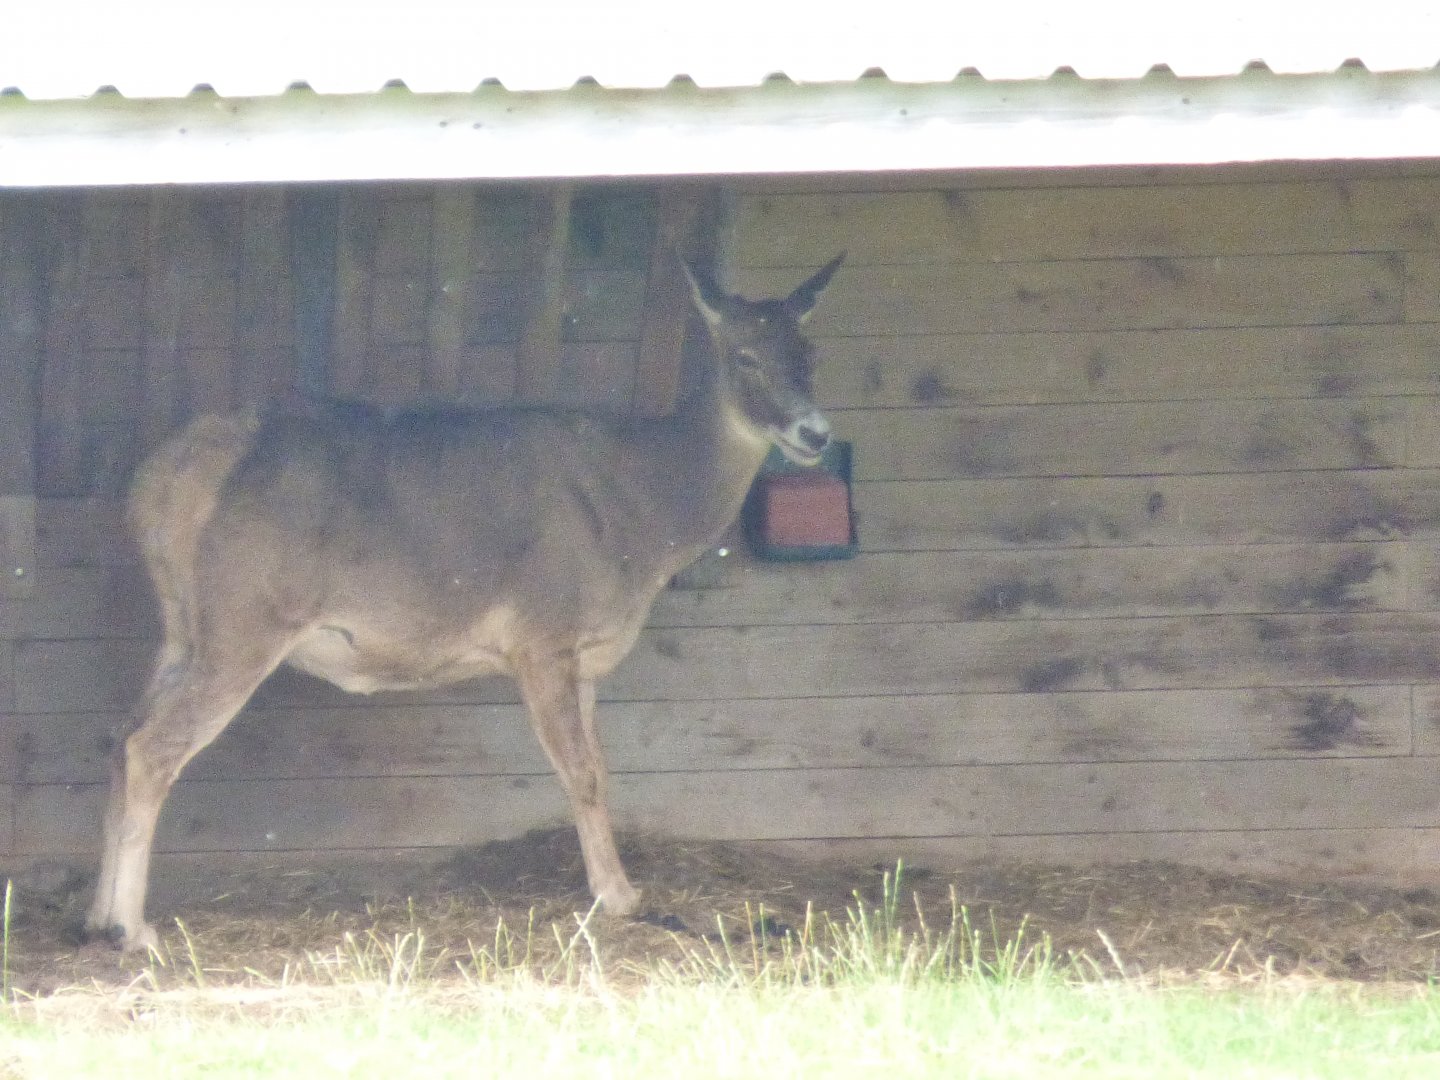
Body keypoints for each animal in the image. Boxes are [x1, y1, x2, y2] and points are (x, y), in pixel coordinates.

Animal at [84, 253, 845, 952]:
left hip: (183, 627)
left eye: (808, 351)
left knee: (121, 736)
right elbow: (581, 773)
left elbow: (600, 769)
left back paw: (95, 916)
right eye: (745, 356)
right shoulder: (543, 630)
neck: (643, 517)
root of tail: (160, 482)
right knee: (153, 746)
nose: (815, 433)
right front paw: (618, 896)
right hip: (245, 617)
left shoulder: (584, 657)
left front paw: (616, 887)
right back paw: (135, 929)